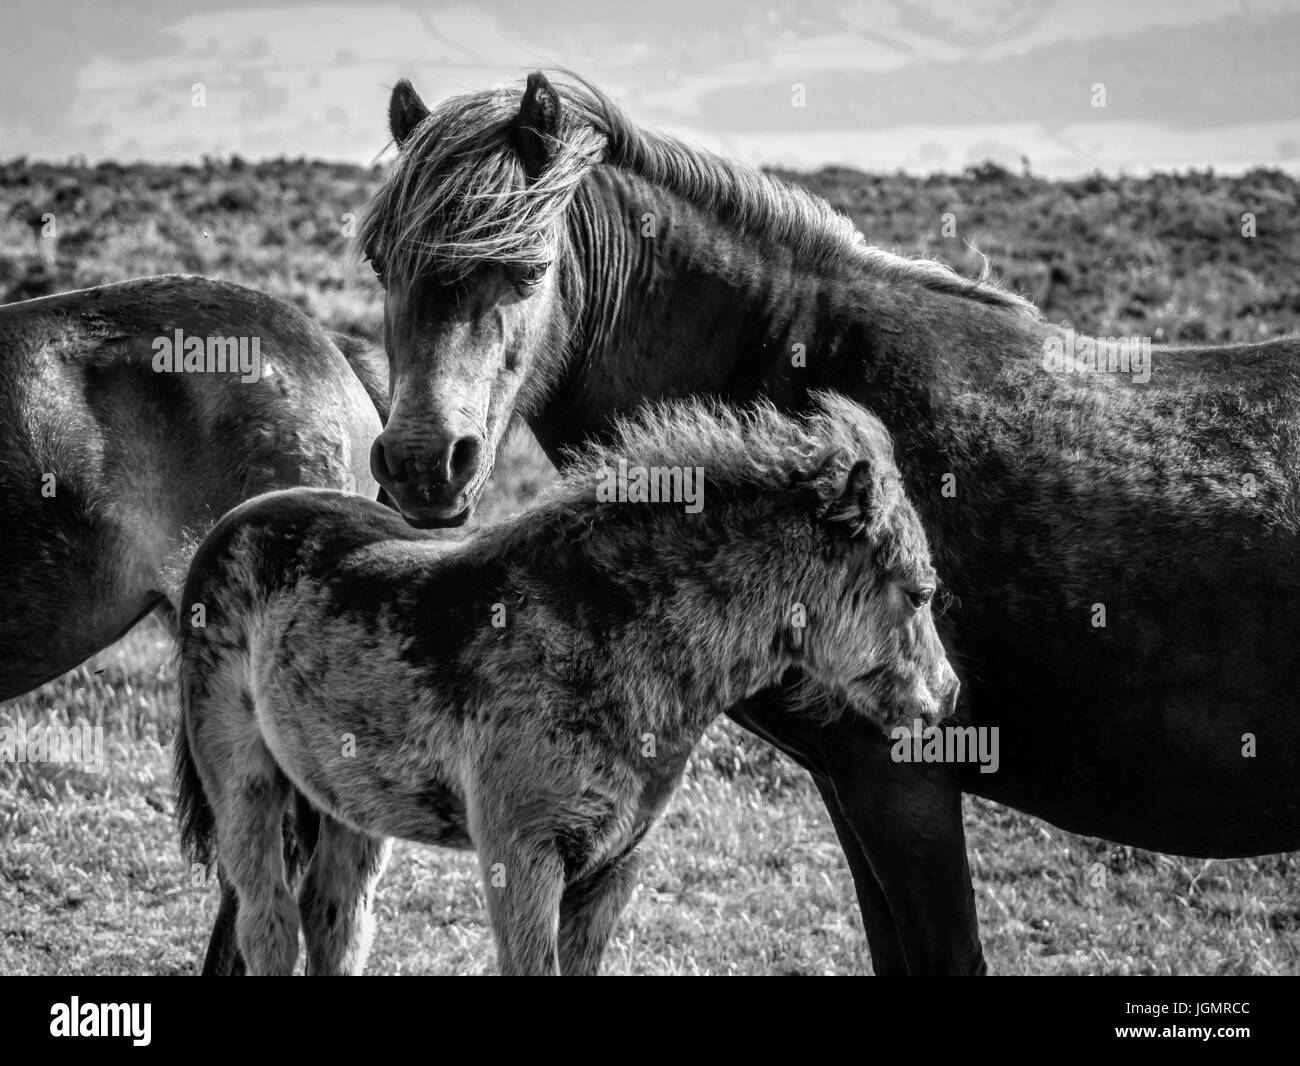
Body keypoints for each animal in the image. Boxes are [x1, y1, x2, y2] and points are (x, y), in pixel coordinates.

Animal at [172, 392, 956, 972]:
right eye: (919, 593)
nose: (946, 697)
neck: (609, 639)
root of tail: (221, 533)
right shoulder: (523, 861)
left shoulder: (613, 870)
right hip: (244, 782)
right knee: (268, 921)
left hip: (347, 803)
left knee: (334, 919)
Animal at [358, 72, 1300, 972]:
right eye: (379, 263)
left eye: (527, 268)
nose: (422, 460)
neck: (804, 377)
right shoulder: (851, 785)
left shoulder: (901, 781)